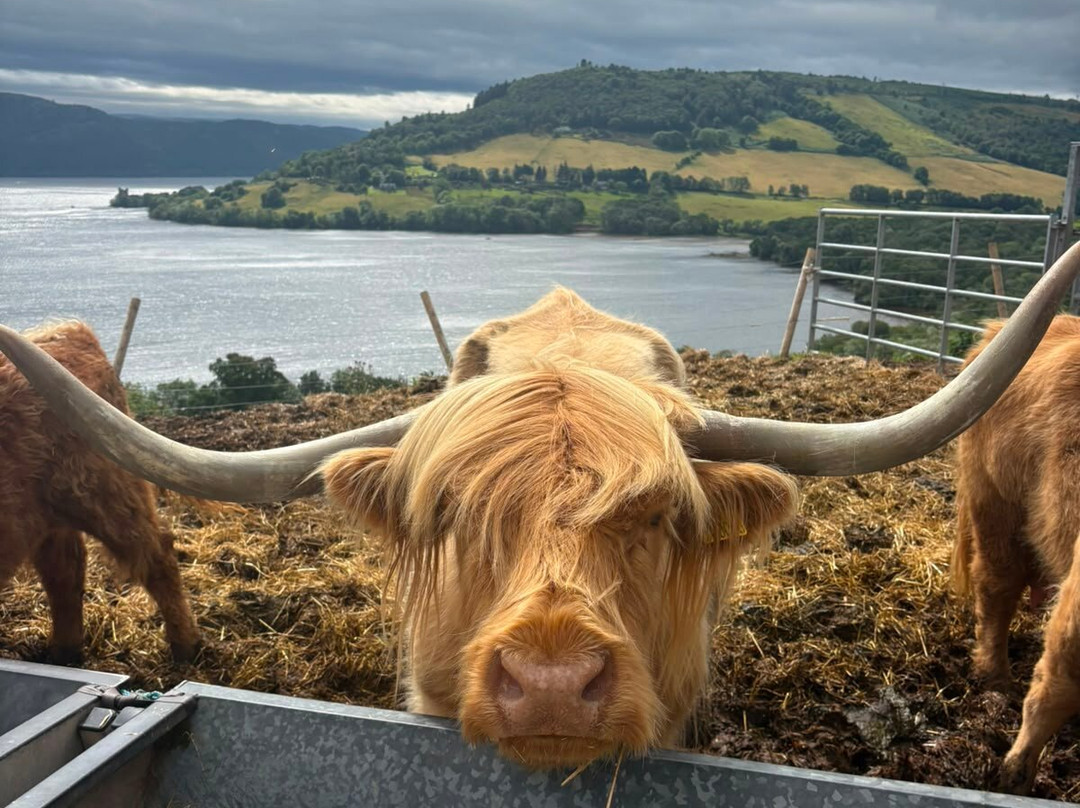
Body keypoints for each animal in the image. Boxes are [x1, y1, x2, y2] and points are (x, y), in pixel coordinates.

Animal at [0, 321, 199, 663]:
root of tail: (71, 332)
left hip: (108, 494)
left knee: (158, 554)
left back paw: (187, 648)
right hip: (47, 515)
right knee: (65, 568)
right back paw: (63, 654)